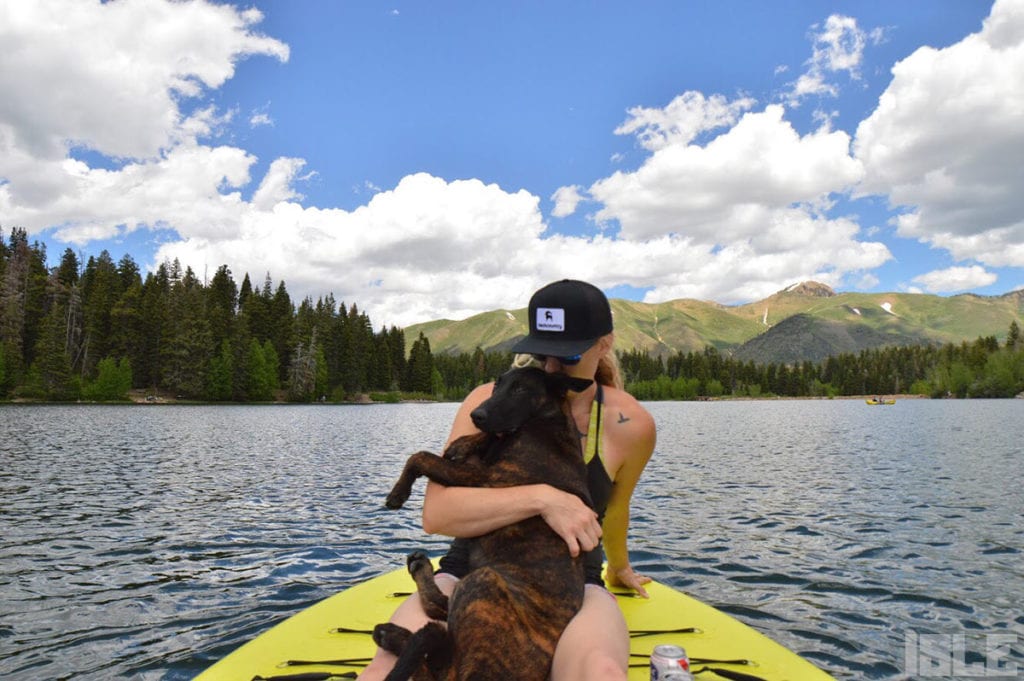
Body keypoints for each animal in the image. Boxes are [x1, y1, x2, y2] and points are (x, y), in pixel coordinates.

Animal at [376, 366, 598, 679]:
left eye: (520, 389)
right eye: (497, 385)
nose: (476, 415)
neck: (545, 424)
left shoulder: (484, 480)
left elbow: (420, 457)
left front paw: (398, 492)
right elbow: (480, 440)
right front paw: (465, 442)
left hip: (482, 582)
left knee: (436, 645)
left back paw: (399, 631)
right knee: (438, 615)